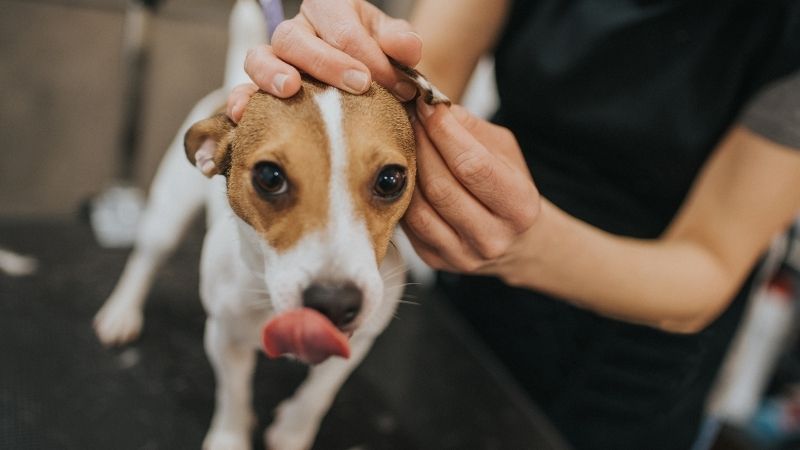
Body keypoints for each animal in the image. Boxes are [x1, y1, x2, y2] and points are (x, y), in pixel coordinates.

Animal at [92, 1, 447, 448]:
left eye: (390, 180)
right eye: (269, 177)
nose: (334, 302)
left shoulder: (359, 340)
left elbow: (318, 394)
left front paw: (292, 432)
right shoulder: (223, 337)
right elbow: (232, 393)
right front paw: (230, 437)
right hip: (165, 217)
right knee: (145, 259)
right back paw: (121, 312)